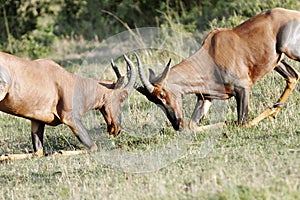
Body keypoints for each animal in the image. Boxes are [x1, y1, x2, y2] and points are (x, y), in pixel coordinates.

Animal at [0, 52, 136, 161]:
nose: (117, 129)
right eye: (122, 97)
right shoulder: (71, 118)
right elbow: (94, 147)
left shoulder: (37, 119)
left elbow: (38, 152)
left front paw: (6, 156)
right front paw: (58, 152)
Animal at [137, 8, 298, 131]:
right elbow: (192, 126)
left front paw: (228, 123)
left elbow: (242, 123)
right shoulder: (205, 98)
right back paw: (275, 109)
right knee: (293, 76)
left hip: (291, 52)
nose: (177, 125)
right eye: (152, 99)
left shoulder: (243, 88)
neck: (212, 52)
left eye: (162, 94)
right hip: (278, 61)